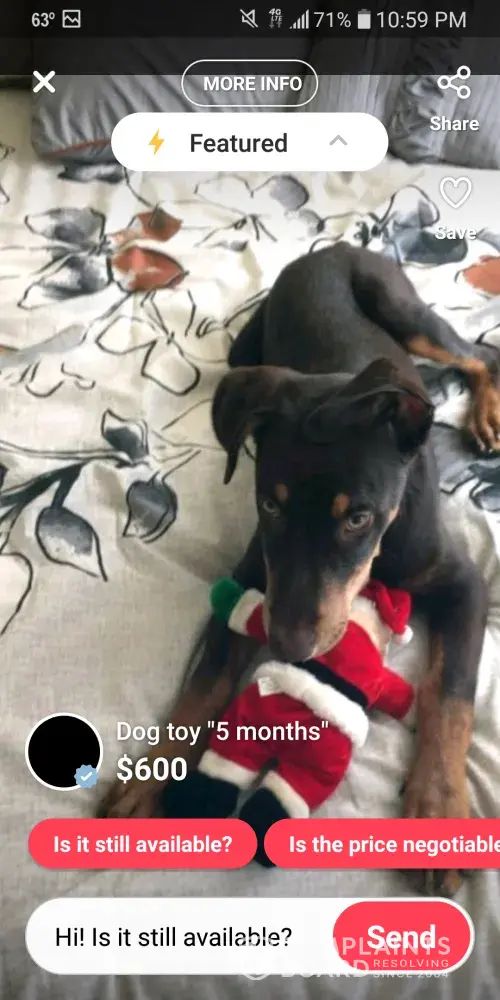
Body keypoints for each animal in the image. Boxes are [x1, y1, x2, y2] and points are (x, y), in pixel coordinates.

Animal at [101, 242, 499, 896]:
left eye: (358, 517)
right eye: (269, 504)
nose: (287, 646)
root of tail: (332, 247)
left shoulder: (465, 585)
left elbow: (450, 697)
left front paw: (439, 810)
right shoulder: (252, 580)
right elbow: (205, 679)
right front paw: (151, 780)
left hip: (402, 308)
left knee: (476, 353)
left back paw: (485, 414)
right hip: (246, 353)